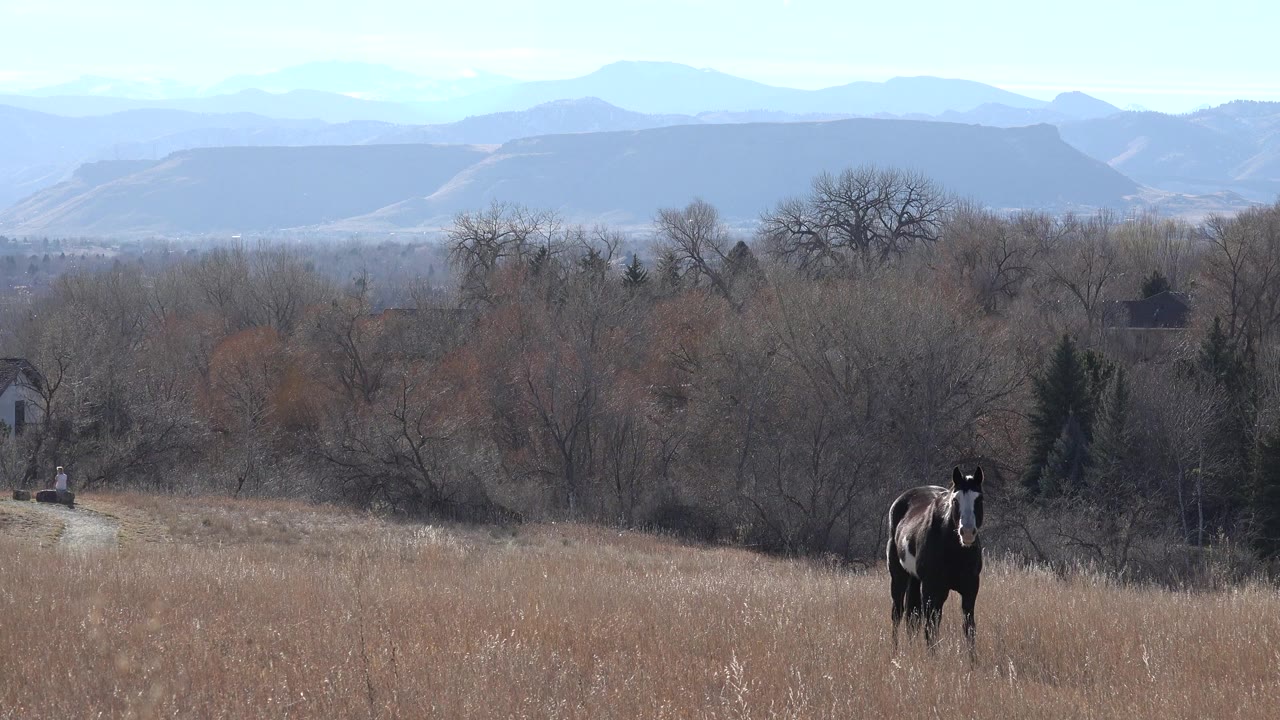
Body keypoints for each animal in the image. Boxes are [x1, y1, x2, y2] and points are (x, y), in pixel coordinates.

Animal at [887, 466, 984, 657]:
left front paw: (973, 660)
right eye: (955, 500)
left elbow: (969, 627)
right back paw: (894, 652)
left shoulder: (970, 588)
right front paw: (933, 658)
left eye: (979, 499)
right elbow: (931, 628)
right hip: (899, 577)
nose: (967, 532)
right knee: (898, 614)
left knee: (912, 618)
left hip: (915, 580)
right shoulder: (932, 589)